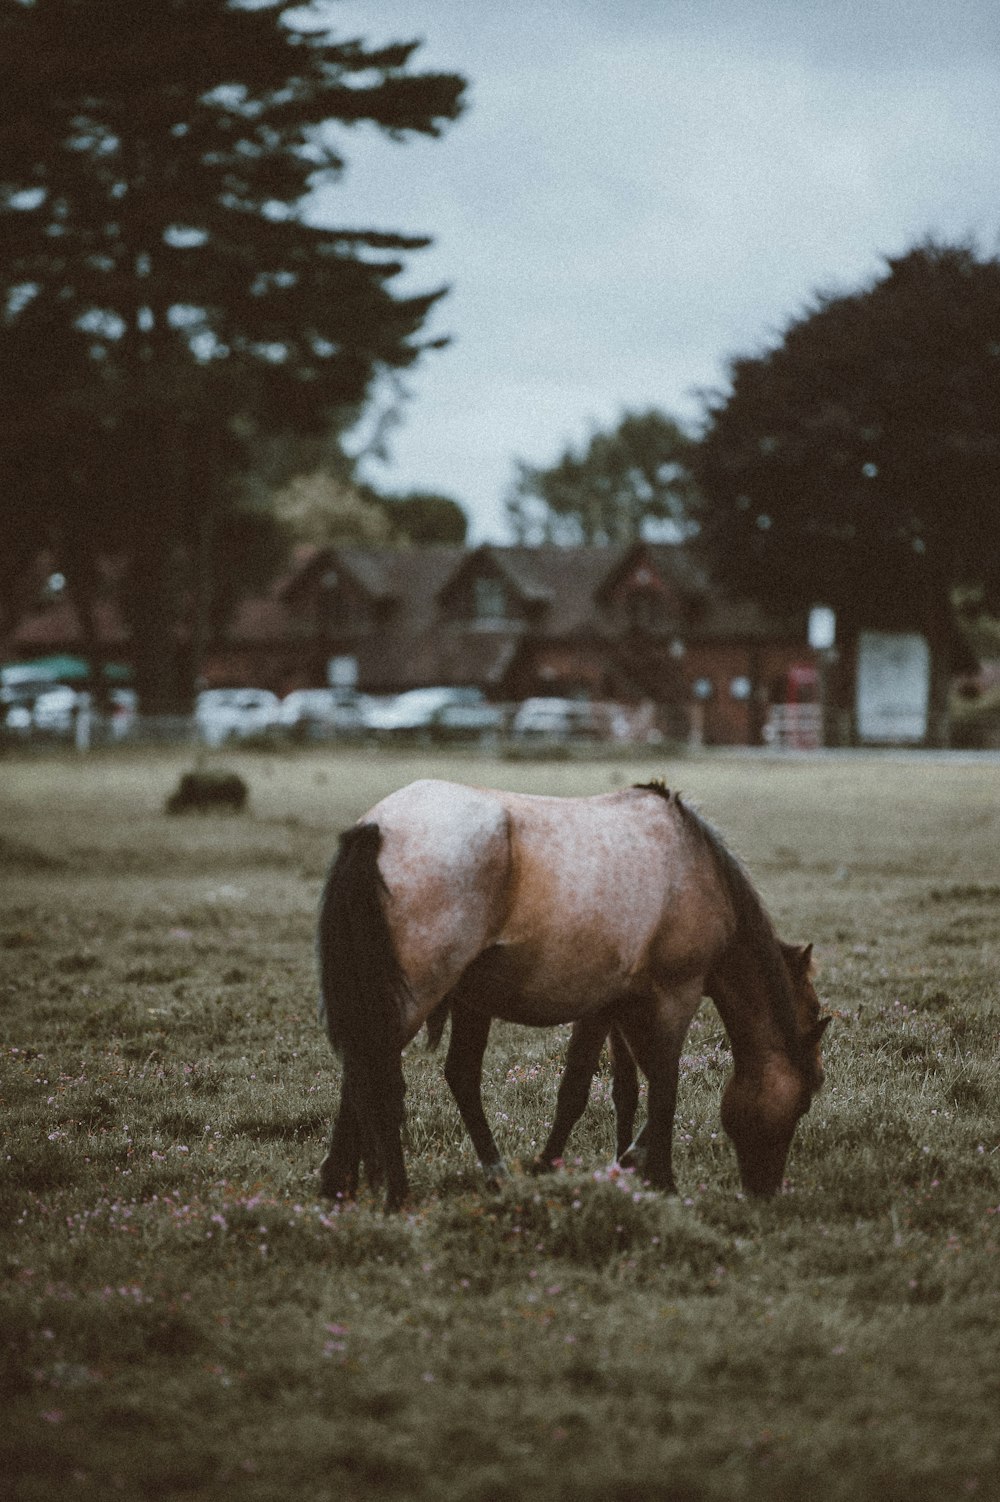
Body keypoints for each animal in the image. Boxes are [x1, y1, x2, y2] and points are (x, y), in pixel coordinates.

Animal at [319, 775, 822, 1207]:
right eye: (803, 1101)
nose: (764, 1191)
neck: (696, 865)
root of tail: (377, 826)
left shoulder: (611, 1004)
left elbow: (614, 1087)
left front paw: (622, 1163)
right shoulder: (673, 996)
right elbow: (658, 1085)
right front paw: (660, 1180)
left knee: (392, 1078)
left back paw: (346, 1185)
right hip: (414, 1000)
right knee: (382, 1085)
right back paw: (398, 1197)